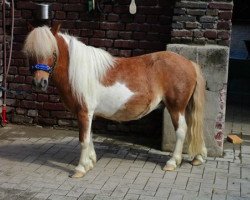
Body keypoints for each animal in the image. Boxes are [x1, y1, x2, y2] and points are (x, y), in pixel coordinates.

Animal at [23, 23, 207, 178]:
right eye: (30, 53)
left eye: (53, 52)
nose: (40, 82)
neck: (80, 70)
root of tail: (189, 63)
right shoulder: (88, 114)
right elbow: (89, 136)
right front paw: (90, 162)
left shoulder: (84, 112)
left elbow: (83, 140)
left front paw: (81, 168)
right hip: (185, 107)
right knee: (194, 127)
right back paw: (198, 158)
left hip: (176, 107)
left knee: (182, 130)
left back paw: (172, 162)